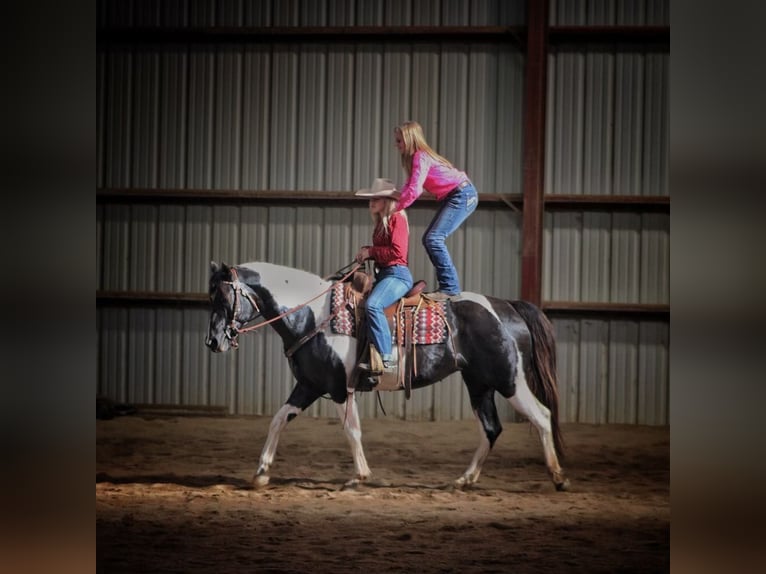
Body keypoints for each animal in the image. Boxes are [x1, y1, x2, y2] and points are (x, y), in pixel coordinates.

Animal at [205, 261, 570, 491]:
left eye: (224, 297)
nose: (213, 342)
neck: (314, 316)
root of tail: (507, 306)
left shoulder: (338, 388)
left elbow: (351, 430)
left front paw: (360, 476)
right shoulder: (309, 385)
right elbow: (279, 419)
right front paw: (261, 473)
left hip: (509, 380)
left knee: (541, 416)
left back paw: (558, 477)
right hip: (479, 384)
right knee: (492, 428)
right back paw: (464, 480)